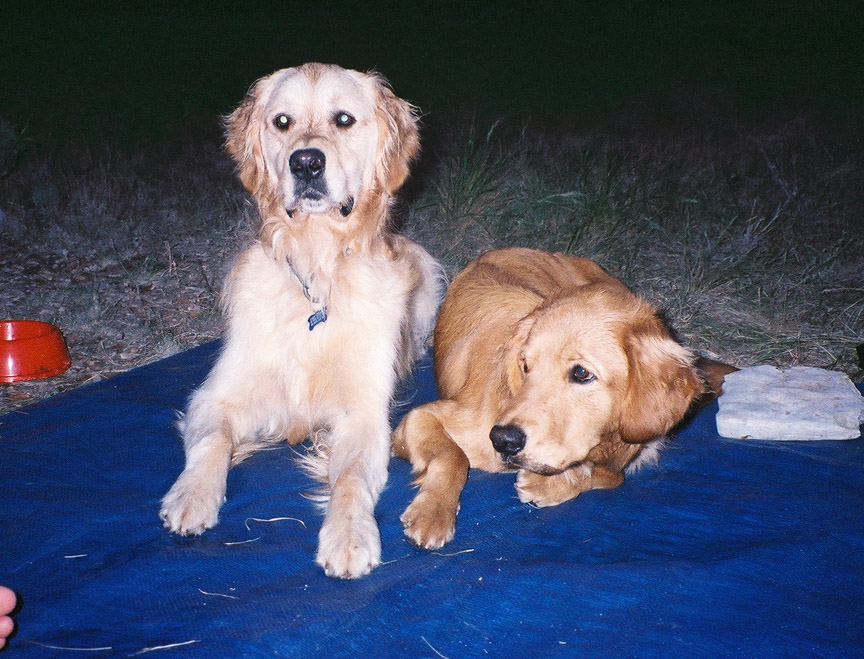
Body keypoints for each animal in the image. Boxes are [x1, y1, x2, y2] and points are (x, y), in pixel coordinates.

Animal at [160, 63, 442, 578]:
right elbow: (212, 443)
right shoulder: (216, 397)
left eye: (344, 119)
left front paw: (349, 535)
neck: (316, 269)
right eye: (282, 122)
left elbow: (349, 477)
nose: (307, 163)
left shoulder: (363, 415)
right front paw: (191, 496)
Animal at [393, 247, 735, 549]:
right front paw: (433, 513)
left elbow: (609, 476)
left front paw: (551, 484)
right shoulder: (419, 419)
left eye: (581, 373)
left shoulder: (629, 446)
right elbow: (452, 456)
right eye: (525, 365)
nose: (502, 440)